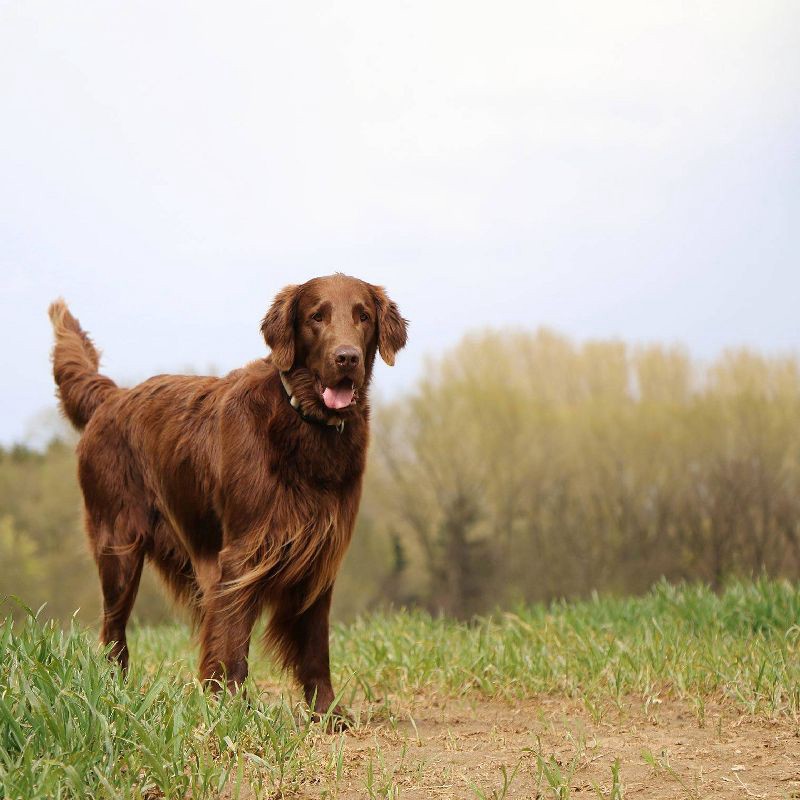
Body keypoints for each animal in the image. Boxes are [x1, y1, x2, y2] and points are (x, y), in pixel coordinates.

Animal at [48, 272, 406, 720]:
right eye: (316, 316)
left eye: (363, 316)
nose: (347, 358)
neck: (302, 423)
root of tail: (111, 397)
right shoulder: (243, 552)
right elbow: (233, 639)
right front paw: (231, 710)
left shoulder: (320, 554)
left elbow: (314, 646)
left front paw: (327, 714)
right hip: (118, 545)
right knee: (113, 629)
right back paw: (116, 693)